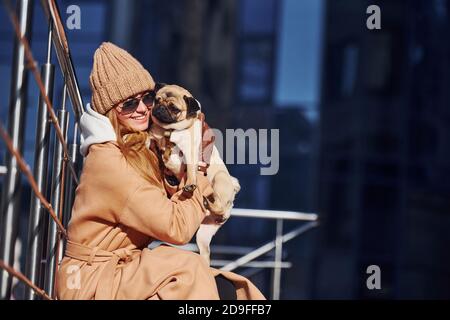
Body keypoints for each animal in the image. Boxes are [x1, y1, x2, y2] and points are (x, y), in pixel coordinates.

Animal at [149, 83, 241, 264]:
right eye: (157, 100)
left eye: (174, 108)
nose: (160, 108)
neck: (169, 130)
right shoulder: (154, 137)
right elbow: (151, 142)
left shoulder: (191, 153)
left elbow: (191, 171)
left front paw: (190, 183)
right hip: (203, 234)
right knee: (205, 252)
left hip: (219, 180)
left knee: (219, 205)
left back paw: (208, 200)